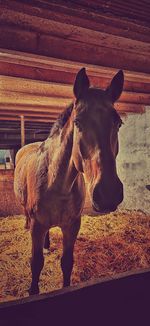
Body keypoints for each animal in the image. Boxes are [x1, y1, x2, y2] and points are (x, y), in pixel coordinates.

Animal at [14, 69, 124, 296]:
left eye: (118, 123)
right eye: (78, 122)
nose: (108, 193)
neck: (56, 184)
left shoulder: (72, 226)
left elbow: (67, 263)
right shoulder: (37, 226)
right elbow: (36, 263)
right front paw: (33, 291)